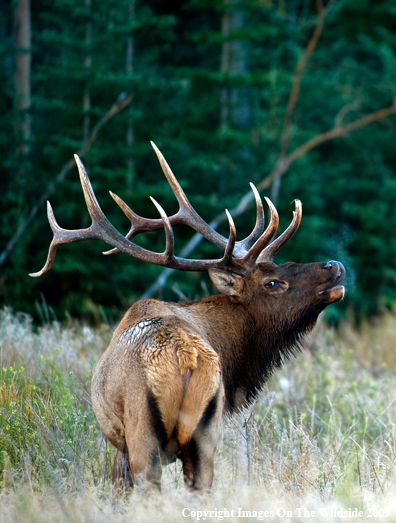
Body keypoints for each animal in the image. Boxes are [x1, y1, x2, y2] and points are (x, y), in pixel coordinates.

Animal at [29, 143, 344, 492]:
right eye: (273, 282)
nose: (335, 265)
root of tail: (185, 356)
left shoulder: (120, 445)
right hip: (205, 430)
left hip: (142, 431)